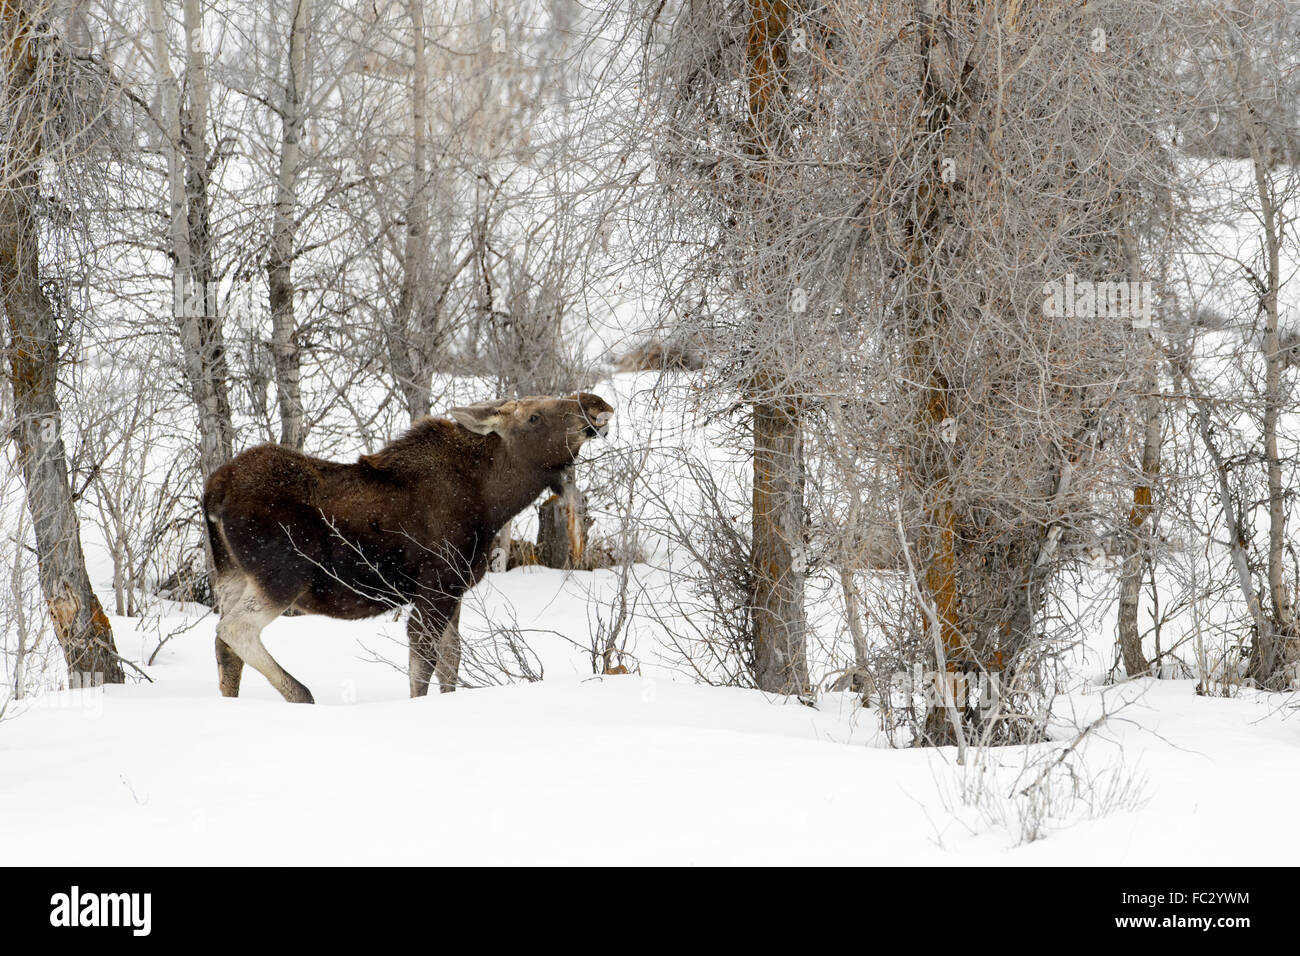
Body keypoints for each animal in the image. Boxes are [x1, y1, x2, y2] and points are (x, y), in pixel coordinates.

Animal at [198, 390, 613, 702]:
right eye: (533, 417)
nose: (594, 403)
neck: (493, 502)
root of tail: (213, 492)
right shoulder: (436, 586)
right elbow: (422, 664)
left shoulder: (454, 589)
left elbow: (450, 660)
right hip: (284, 576)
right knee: (234, 629)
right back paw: (301, 694)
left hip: (233, 574)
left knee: (223, 647)